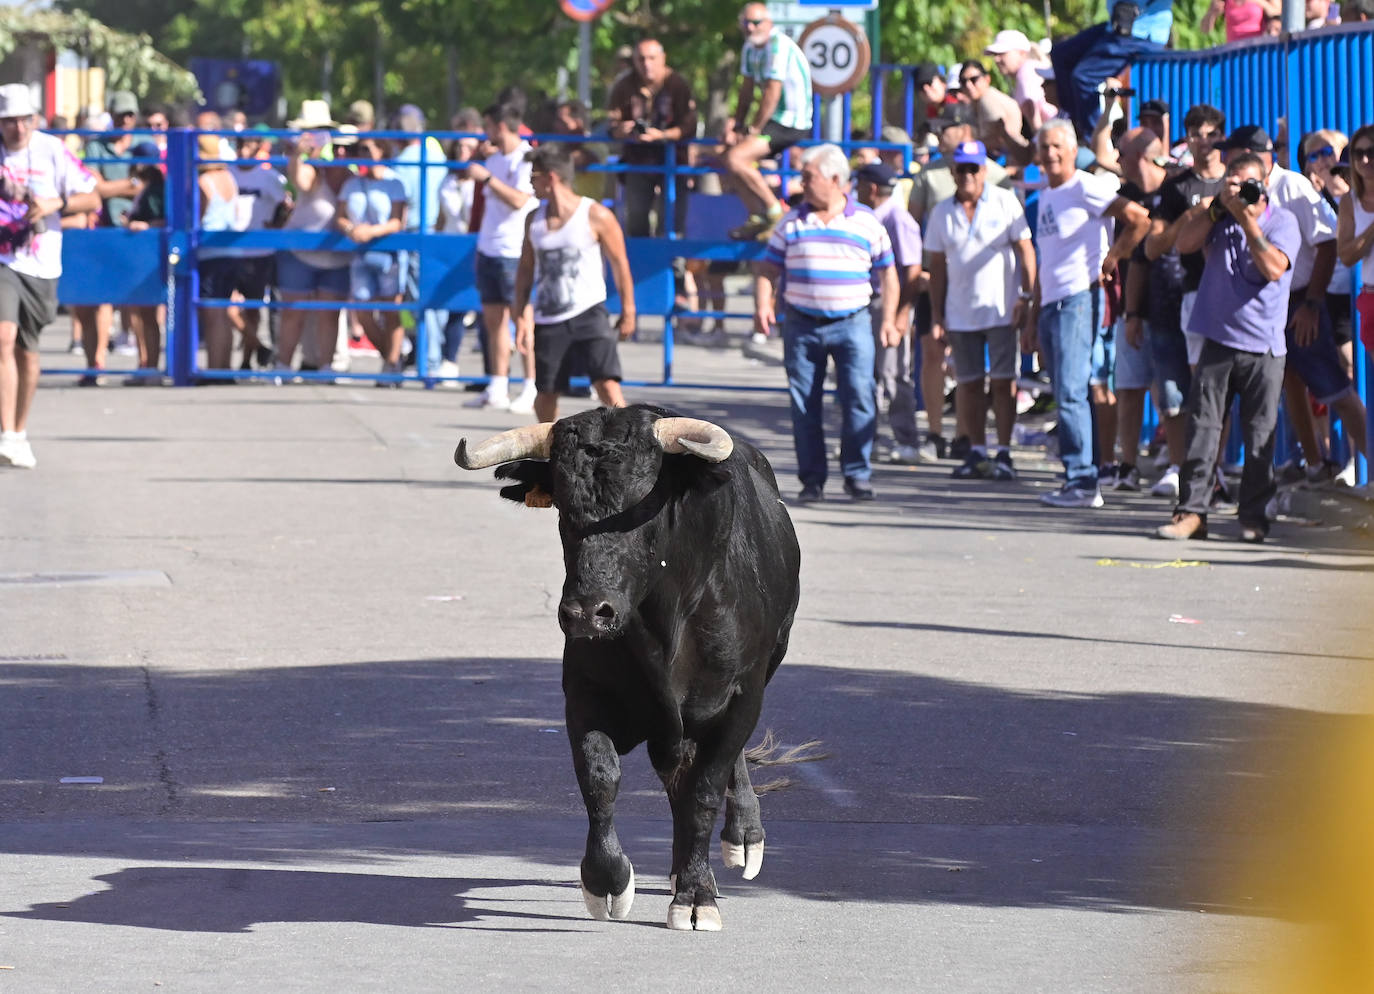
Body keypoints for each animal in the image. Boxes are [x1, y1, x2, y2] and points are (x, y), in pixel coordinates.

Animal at [458, 404, 802, 934]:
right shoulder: (585, 694)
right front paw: (607, 881)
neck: (666, 624)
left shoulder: (741, 697)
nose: (586, 613)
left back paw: (741, 838)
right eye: (563, 507)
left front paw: (696, 898)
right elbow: (600, 779)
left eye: (645, 505)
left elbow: (705, 789)